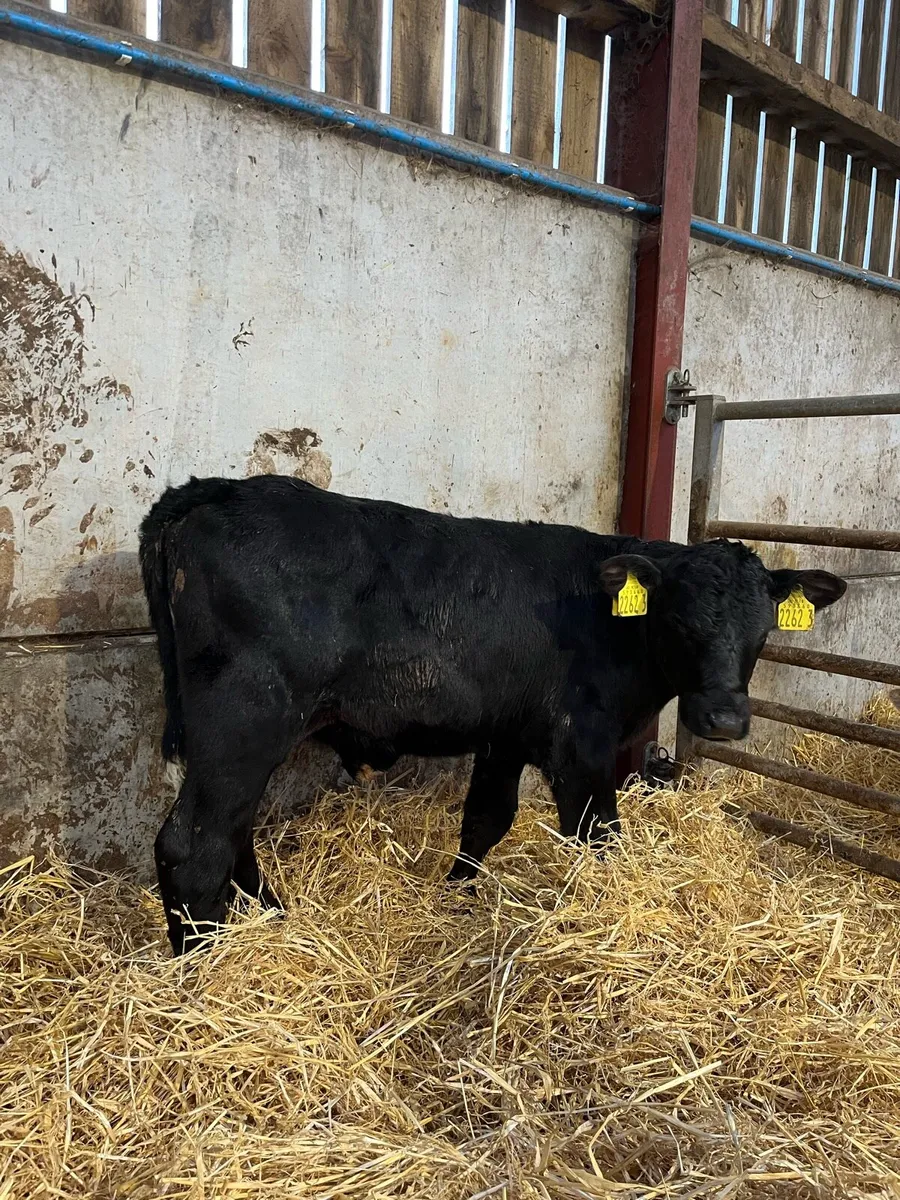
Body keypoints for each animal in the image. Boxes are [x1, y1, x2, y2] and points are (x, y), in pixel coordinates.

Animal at [140, 475, 846, 953]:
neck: (609, 620)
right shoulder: (580, 745)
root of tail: (216, 489)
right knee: (194, 845)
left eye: (763, 630)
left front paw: (457, 901)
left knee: (232, 832)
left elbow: (485, 820)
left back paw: (271, 919)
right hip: (245, 720)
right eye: (679, 621)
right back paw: (208, 967)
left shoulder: (507, 736)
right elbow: (598, 838)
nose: (724, 721)